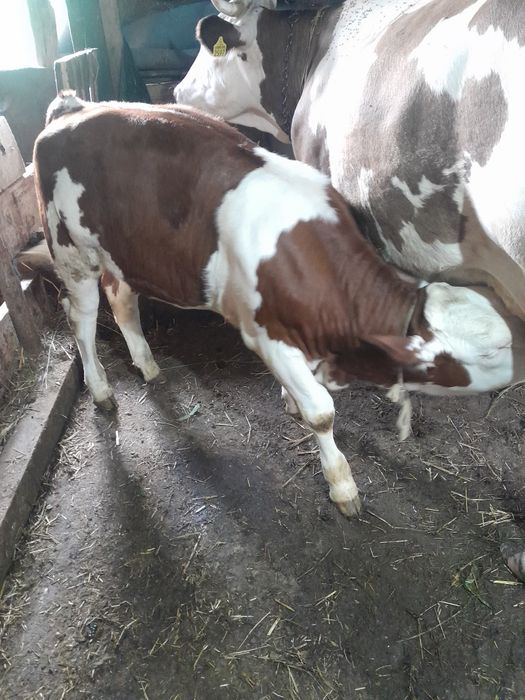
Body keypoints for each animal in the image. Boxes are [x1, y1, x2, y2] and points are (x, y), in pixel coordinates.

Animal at [33, 93, 525, 517]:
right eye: (492, 352)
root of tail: (75, 107)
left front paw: (290, 398)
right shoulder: (265, 335)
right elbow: (322, 413)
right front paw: (341, 484)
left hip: (123, 251)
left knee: (122, 301)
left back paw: (148, 364)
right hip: (71, 251)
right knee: (82, 320)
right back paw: (101, 391)